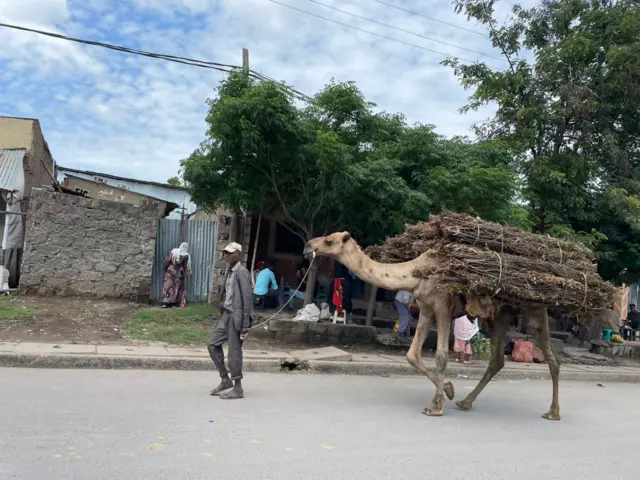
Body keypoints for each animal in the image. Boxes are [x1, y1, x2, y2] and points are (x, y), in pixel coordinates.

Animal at [304, 231, 560, 418]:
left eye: (329, 240)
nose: (307, 246)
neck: (416, 273)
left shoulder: (442, 306)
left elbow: (441, 356)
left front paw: (436, 406)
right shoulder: (426, 308)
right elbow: (412, 355)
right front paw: (448, 389)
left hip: (534, 310)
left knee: (551, 358)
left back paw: (553, 412)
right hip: (499, 316)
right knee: (497, 360)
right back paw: (465, 402)